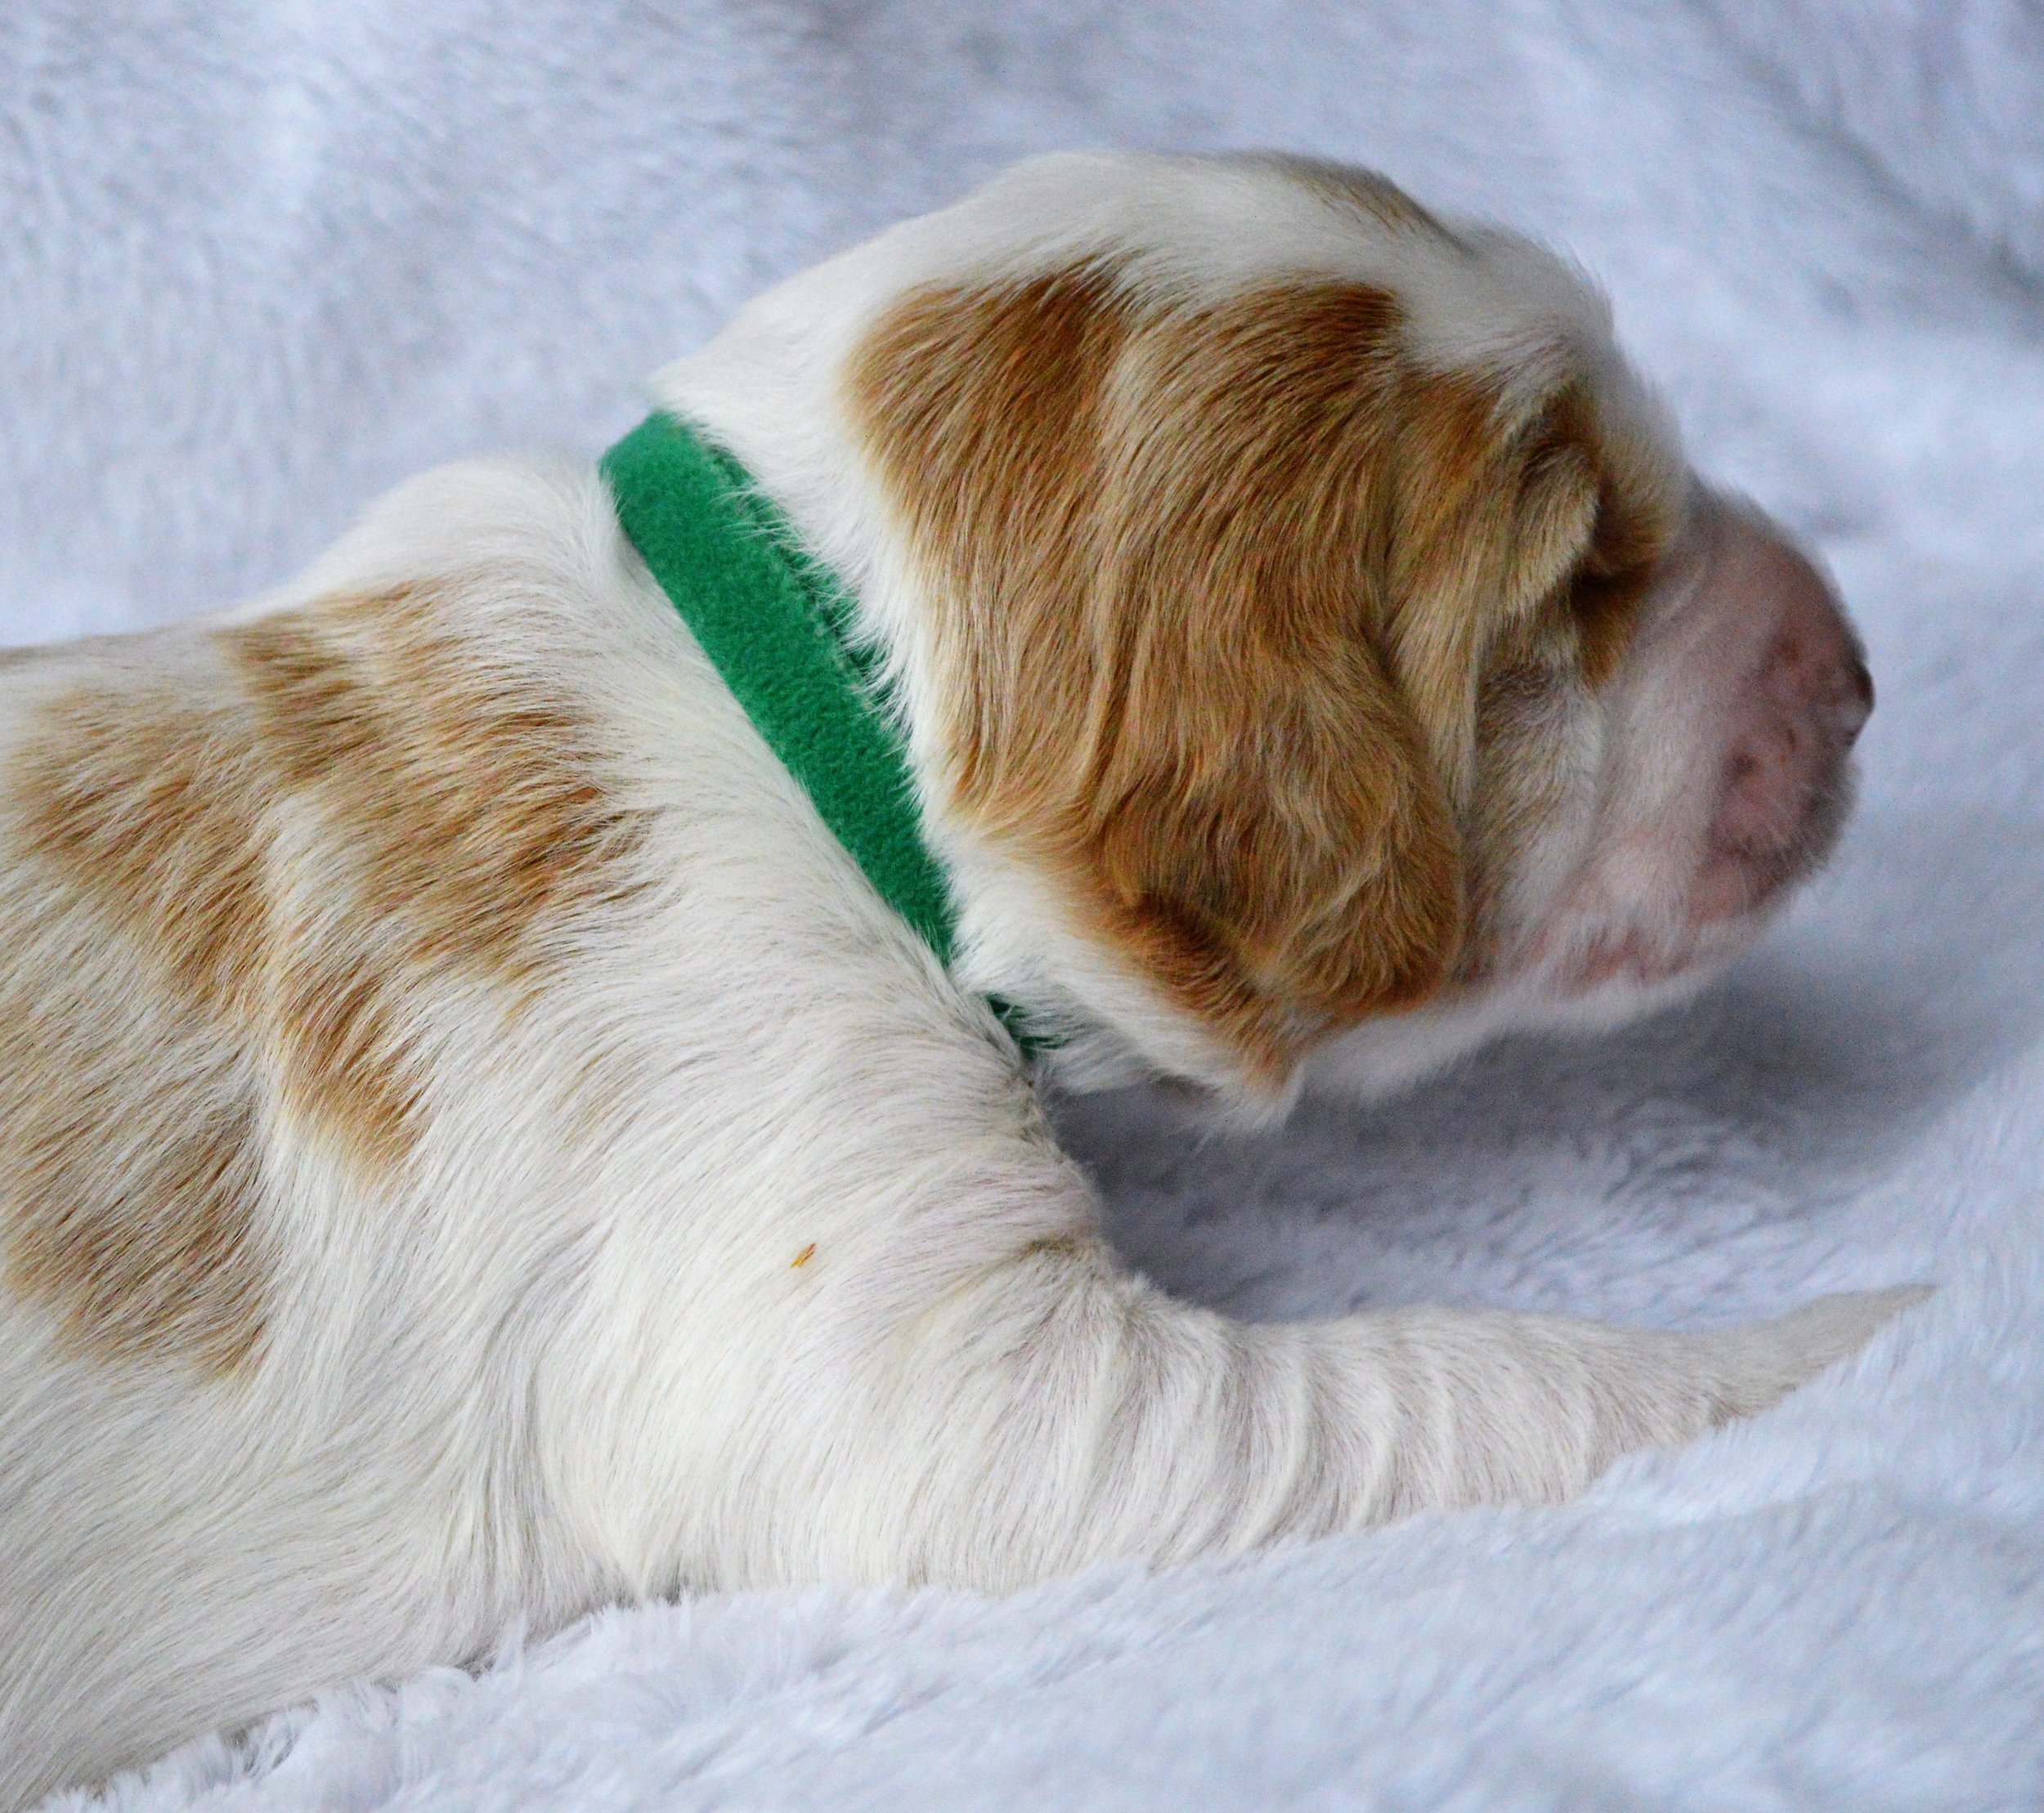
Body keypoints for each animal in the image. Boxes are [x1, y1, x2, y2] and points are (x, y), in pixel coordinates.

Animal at [0, 152, 1913, 1798]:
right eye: (1576, 583)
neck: (797, 675)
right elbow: (1477, 1377)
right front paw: (1865, 1333)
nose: (1858, 672)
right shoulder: (954, 1384)